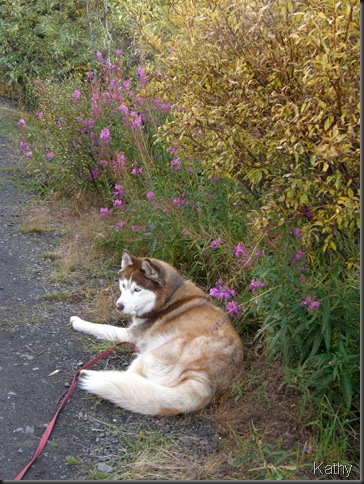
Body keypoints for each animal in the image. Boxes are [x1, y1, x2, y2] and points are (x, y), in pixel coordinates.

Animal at [69, 250, 243, 416]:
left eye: (137, 289)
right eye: (123, 285)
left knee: (131, 378)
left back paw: (90, 374)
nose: (118, 306)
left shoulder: (130, 334)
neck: (167, 298)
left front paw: (78, 322)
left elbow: (102, 327)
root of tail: (207, 380)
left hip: (152, 356)